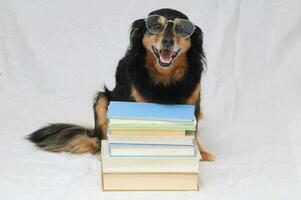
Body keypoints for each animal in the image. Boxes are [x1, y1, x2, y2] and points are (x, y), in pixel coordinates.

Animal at [27, 8, 212, 161]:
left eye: (181, 30)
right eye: (156, 26)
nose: (167, 41)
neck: (164, 76)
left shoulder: (193, 103)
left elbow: (193, 132)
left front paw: (200, 152)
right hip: (102, 100)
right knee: (101, 138)